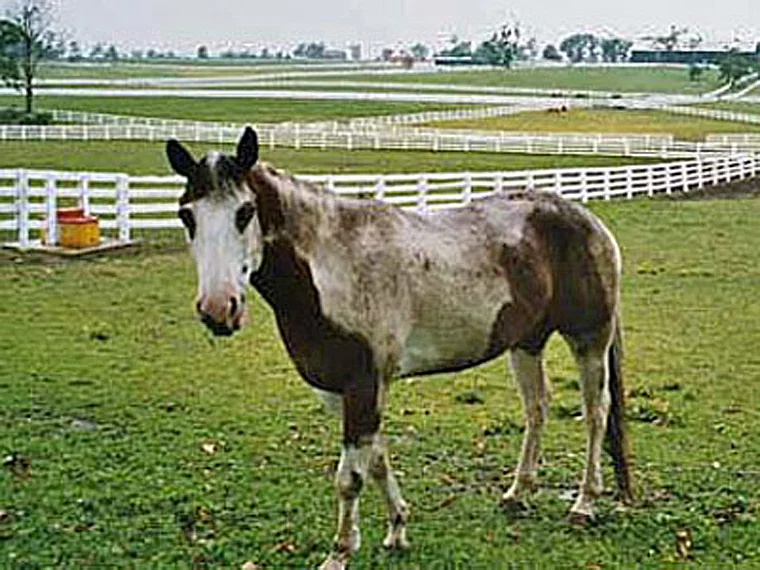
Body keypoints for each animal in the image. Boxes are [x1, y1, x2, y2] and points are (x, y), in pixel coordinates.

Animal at [166, 127, 634, 569]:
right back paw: (517, 493)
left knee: (596, 413)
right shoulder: (338, 390)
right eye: (186, 215)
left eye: (245, 212)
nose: (218, 309)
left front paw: (340, 552)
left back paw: (584, 503)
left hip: (588, 339)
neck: (333, 266)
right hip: (526, 343)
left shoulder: (365, 383)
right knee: (537, 409)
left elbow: (349, 478)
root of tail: (589, 221)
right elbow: (376, 461)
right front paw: (397, 529)